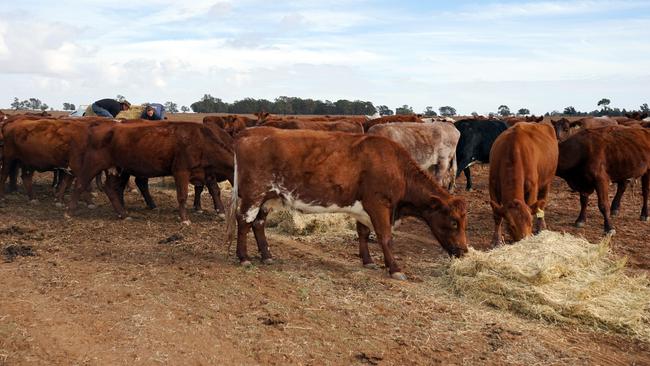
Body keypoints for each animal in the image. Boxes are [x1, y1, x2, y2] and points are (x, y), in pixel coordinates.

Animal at [68, 121, 234, 223]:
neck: (200, 141)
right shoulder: (180, 171)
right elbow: (182, 196)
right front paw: (184, 219)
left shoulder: (206, 173)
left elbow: (214, 190)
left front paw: (220, 211)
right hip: (93, 164)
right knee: (80, 183)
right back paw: (69, 212)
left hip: (117, 169)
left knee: (111, 188)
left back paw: (123, 213)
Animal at [228, 127, 466, 278]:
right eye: (453, 222)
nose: (464, 251)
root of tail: (249, 132)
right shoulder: (379, 205)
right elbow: (385, 237)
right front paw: (395, 268)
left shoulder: (363, 209)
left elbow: (363, 232)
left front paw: (368, 261)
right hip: (254, 194)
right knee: (244, 221)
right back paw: (243, 257)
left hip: (268, 198)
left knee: (258, 224)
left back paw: (267, 256)